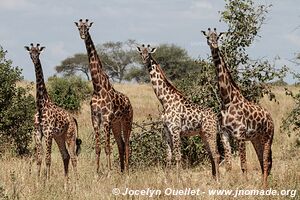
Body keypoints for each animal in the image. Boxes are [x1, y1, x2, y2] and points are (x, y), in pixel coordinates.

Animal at [24, 43, 81, 188]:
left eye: (38, 52)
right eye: (30, 53)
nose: (34, 59)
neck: (41, 106)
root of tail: (73, 118)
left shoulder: (48, 132)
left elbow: (48, 158)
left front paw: (47, 183)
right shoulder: (37, 133)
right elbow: (39, 158)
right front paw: (38, 183)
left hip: (70, 135)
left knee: (73, 157)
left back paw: (76, 184)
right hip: (59, 137)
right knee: (65, 155)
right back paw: (66, 184)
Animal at [75, 18, 132, 173]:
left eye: (87, 28)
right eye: (79, 28)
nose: (83, 35)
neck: (98, 87)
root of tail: (130, 102)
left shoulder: (106, 119)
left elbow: (107, 147)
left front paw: (109, 172)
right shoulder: (95, 119)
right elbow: (98, 148)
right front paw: (97, 172)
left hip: (127, 121)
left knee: (127, 144)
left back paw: (127, 171)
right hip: (116, 123)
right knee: (121, 144)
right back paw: (122, 171)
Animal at [138, 44, 220, 181]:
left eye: (149, 53)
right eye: (141, 53)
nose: (144, 60)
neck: (164, 101)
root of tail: (215, 116)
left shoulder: (175, 130)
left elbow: (177, 155)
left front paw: (179, 179)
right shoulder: (166, 130)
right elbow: (168, 156)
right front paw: (167, 180)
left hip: (210, 132)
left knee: (216, 154)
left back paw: (218, 179)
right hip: (203, 133)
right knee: (210, 154)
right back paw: (213, 178)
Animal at [202, 28, 274, 188]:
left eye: (218, 37)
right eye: (207, 37)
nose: (214, 45)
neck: (227, 100)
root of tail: (270, 117)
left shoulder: (240, 135)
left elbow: (243, 165)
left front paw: (244, 185)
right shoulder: (224, 134)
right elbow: (229, 165)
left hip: (268, 137)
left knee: (266, 162)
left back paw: (265, 187)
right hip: (256, 139)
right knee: (262, 162)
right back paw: (262, 185)